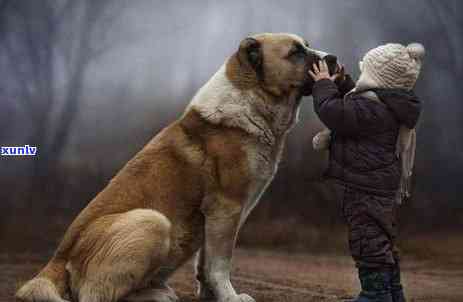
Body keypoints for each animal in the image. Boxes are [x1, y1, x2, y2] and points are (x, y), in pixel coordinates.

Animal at [17, 33, 338, 302]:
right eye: (296, 52)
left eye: (306, 46)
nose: (333, 58)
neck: (252, 102)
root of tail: (57, 260)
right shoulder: (226, 207)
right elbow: (220, 263)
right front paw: (231, 297)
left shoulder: (218, 216)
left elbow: (205, 263)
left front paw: (211, 296)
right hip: (153, 221)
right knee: (96, 296)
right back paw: (156, 295)